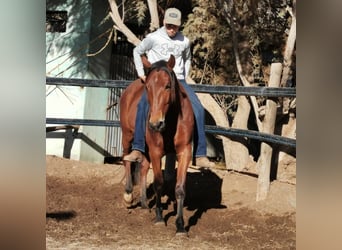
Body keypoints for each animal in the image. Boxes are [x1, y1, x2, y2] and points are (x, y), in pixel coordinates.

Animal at [119, 54, 195, 234]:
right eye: (147, 87)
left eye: (168, 86)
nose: (155, 124)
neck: (172, 120)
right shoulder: (155, 151)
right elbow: (159, 184)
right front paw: (160, 218)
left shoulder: (185, 152)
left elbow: (180, 188)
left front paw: (180, 225)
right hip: (127, 136)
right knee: (126, 160)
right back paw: (128, 196)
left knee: (143, 168)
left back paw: (144, 203)